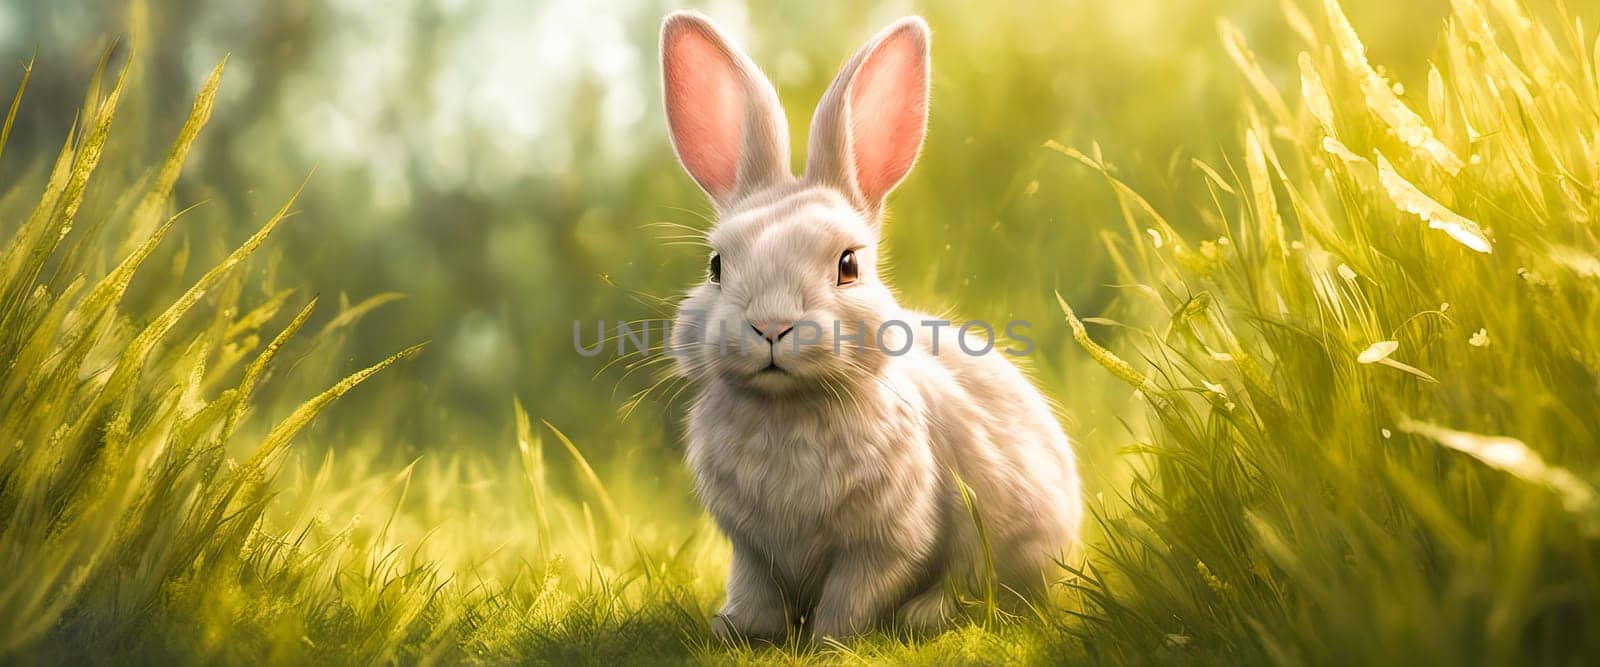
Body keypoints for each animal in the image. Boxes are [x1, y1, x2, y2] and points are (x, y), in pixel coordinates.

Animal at [656, 10, 1081, 643]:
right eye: (716, 266)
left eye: (848, 265)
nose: (771, 327)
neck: (790, 410)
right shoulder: (751, 549)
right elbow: (756, 589)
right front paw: (738, 629)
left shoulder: (887, 544)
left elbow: (852, 596)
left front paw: (829, 643)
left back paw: (927, 614)